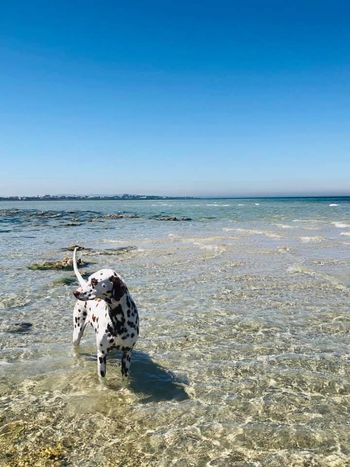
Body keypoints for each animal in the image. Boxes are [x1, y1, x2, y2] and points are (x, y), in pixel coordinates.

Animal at [72, 247, 139, 378]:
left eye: (94, 281)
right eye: (88, 279)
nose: (75, 292)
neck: (118, 320)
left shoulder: (127, 354)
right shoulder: (102, 355)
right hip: (77, 333)